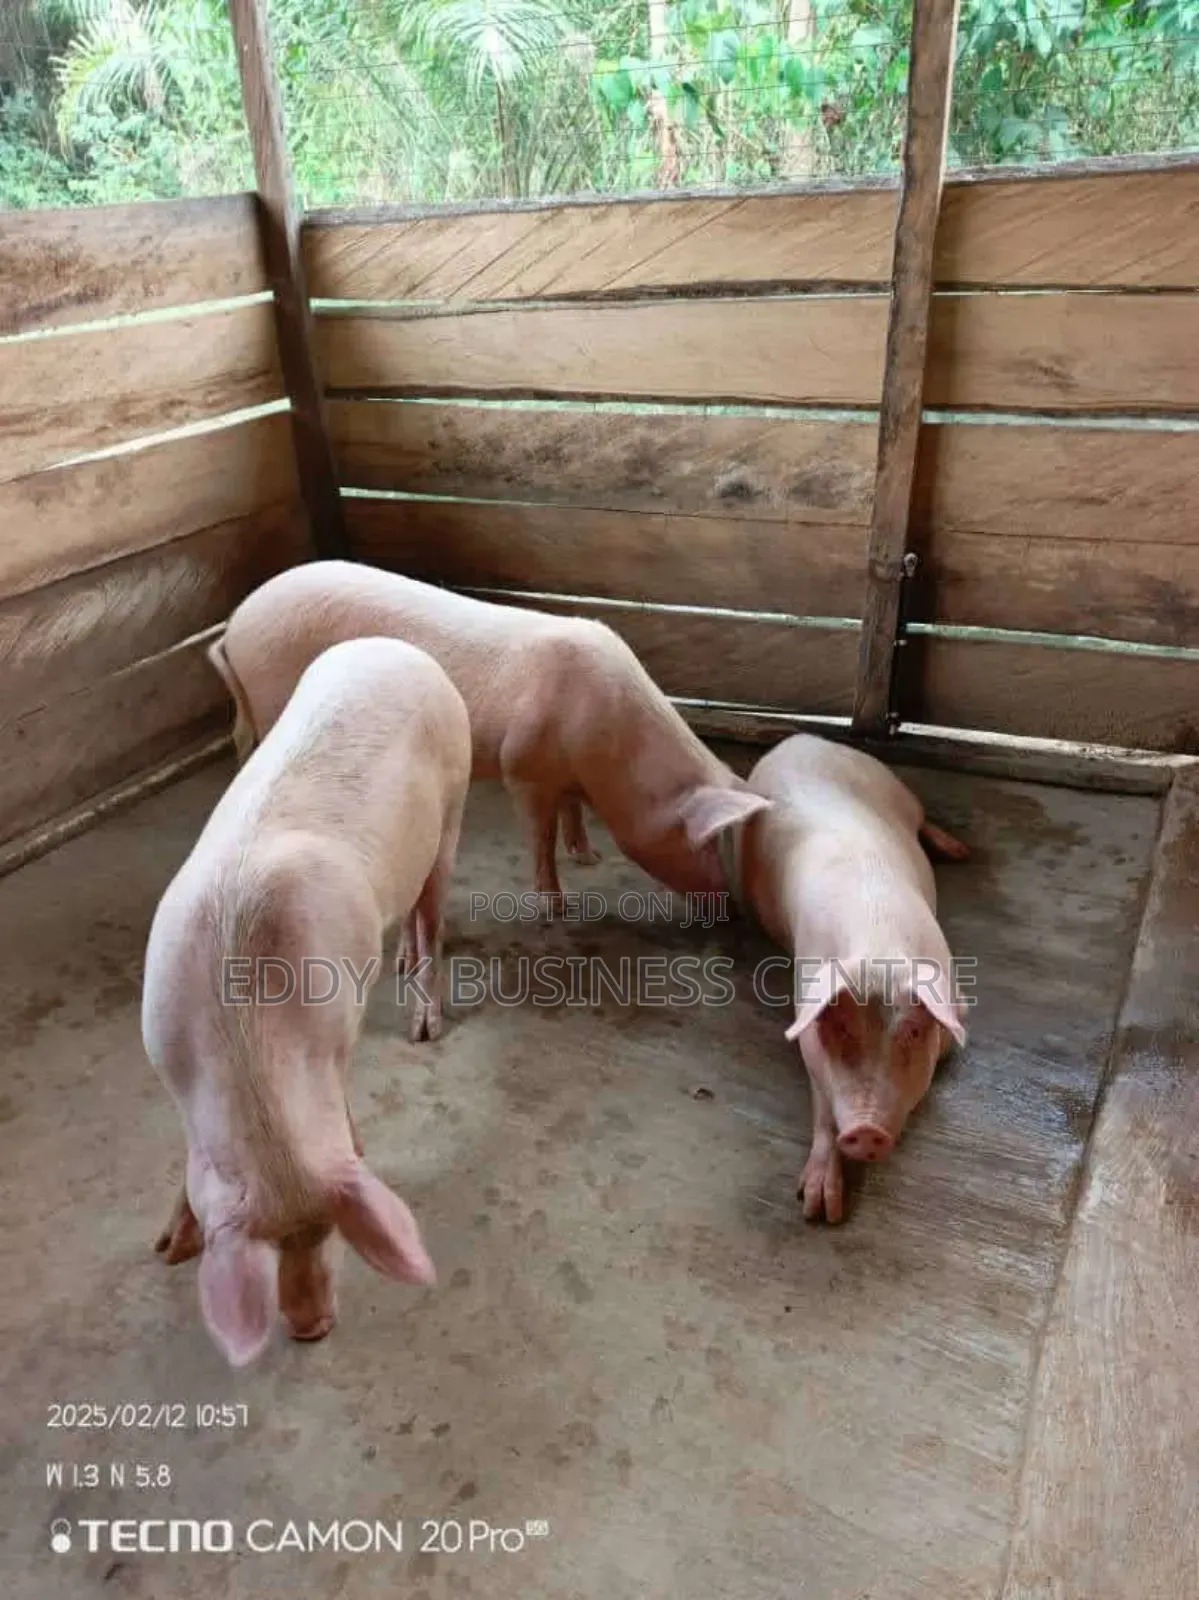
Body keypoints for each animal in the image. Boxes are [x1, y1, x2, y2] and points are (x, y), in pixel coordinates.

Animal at [142, 636, 471, 1365]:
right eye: (267, 1249)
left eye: (329, 1233)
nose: (310, 1328)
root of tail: (394, 647)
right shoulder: (162, 1053)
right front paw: (167, 1249)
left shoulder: (339, 1023)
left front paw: (360, 1142)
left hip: (453, 803)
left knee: (432, 910)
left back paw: (423, 1021)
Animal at [208, 562, 770, 903]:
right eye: (705, 843)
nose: (729, 905)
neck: (608, 746)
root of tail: (234, 625)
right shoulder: (521, 766)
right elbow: (539, 833)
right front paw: (555, 904)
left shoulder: (566, 774)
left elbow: (572, 813)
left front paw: (588, 855)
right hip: (273, 691)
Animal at [739, 734, 969, 1224]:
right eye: (840, 1025)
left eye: (913, 1031)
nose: (865, 1130)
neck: (875, 946)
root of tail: (800, 739)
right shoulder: (806, 1017)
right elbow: (822, 1102)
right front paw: (817, 1209)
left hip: (894, 785)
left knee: (923, 815)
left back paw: (961, 851)